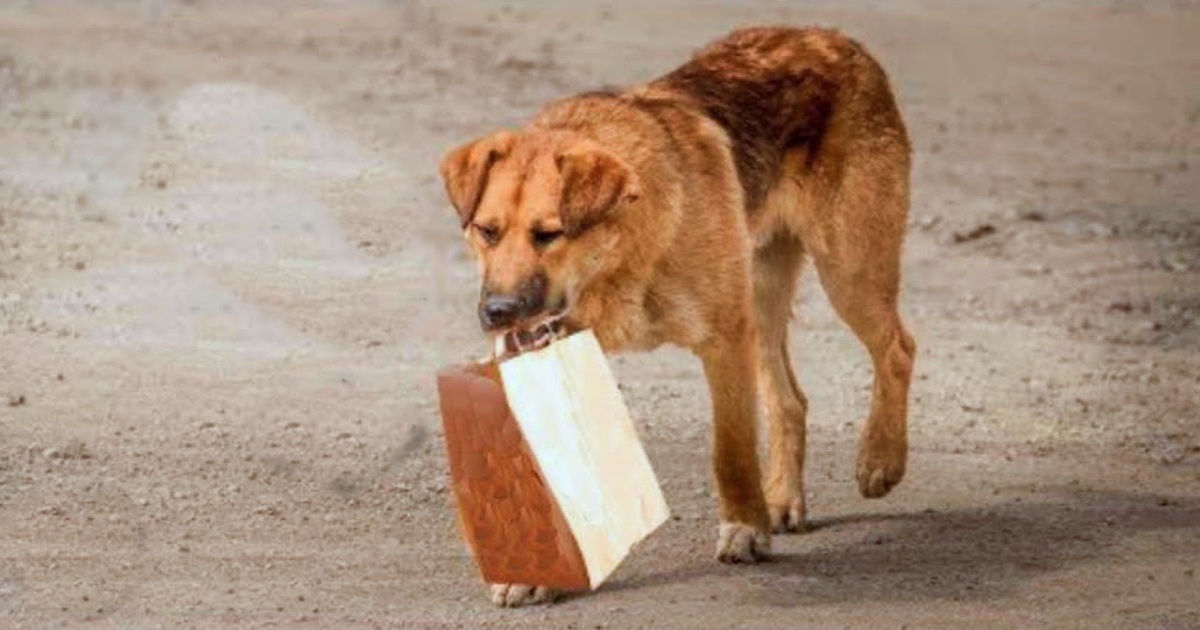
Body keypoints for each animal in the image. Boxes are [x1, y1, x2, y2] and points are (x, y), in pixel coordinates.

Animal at [441, 25, 916, 609]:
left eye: (548, 234)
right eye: (486, 231)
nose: (497, 313)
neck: (621, 256)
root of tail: (833, 38)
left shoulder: (723, 339)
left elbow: (730, 451)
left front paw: (745, 529)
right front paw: (533, 571)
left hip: (846, 271)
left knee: (897, 347)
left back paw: (880, 459)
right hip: (762, 298)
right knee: (790, 400)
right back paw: (783, 498)